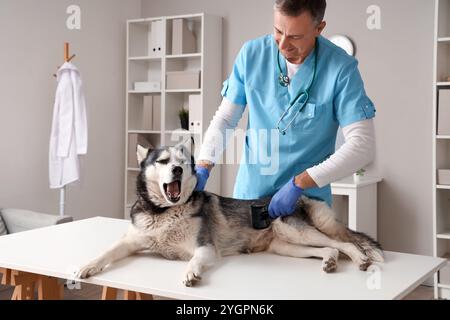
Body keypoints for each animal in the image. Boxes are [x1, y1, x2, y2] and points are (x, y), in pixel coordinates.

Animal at [77, 139, 384, 286]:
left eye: (182, 163)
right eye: (163, 161)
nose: (176, 170)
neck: (164, 213)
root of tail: (295, 197)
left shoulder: (205, 248)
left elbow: (194, 261)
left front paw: (191, 274)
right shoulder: (130, 242)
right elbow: (106, 252)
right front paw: (85, 266)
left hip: (296, 231)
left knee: (343, 242)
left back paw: (360, 258)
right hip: (287, 246)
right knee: (330, 249)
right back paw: (330, 262)